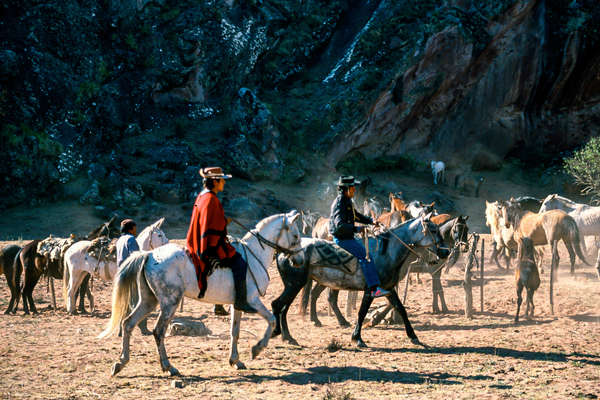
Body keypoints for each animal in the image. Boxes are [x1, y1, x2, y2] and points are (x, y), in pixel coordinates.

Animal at [99, 211, 304, 376]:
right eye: (295, 235)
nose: (300, 261)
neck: (254, 254)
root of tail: (149, 255)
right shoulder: (253, 301)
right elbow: (272, 319)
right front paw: (257, 349)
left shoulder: (237, 304)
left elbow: (235, 331)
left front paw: (235, 360)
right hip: (169, 303)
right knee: (158, 331)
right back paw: (168, 367)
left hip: (149, 301)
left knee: (128, 324)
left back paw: (120, 363)